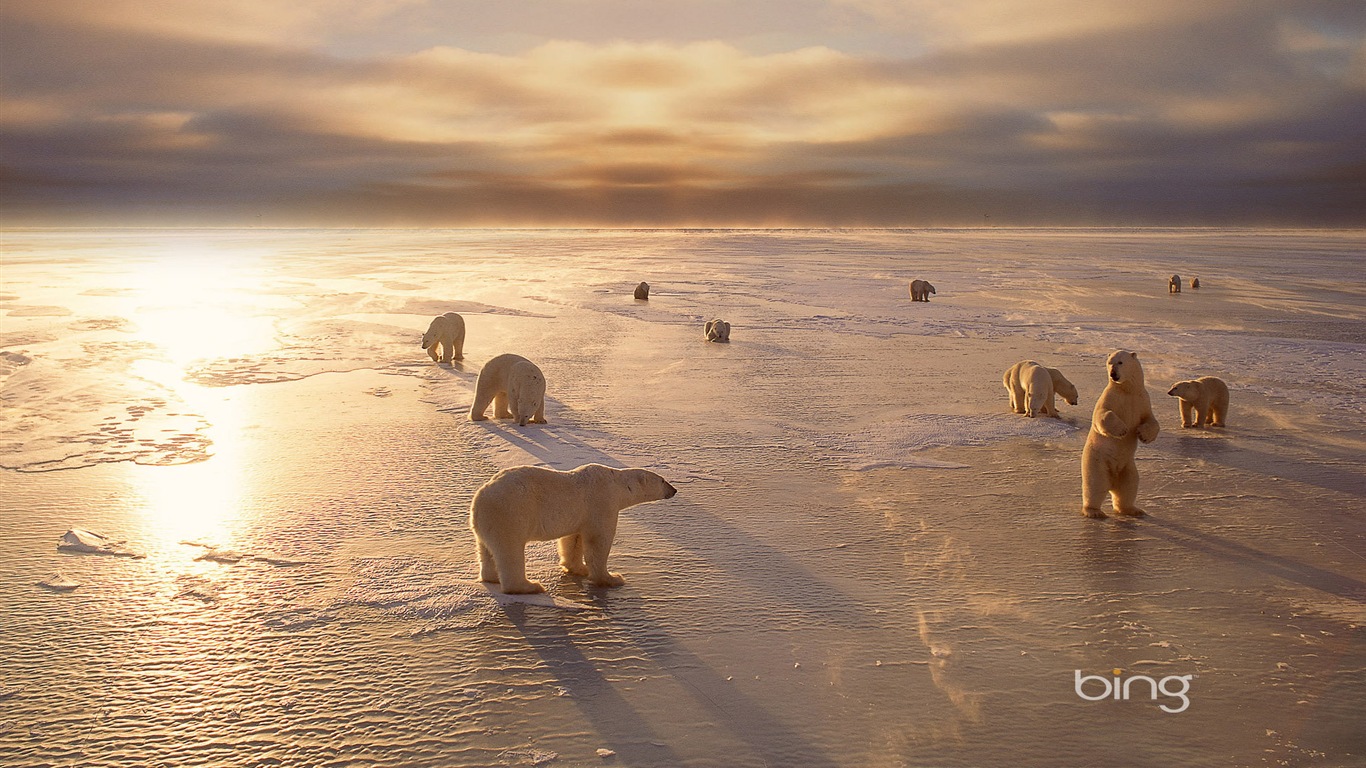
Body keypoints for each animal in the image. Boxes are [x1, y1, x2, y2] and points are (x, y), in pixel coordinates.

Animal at [472, 459, 680, 593]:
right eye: (662, 480)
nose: (674, 490)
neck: (617, 484)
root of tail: (480, 499)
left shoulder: (580, 515)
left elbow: (573, 539)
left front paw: (578, 568)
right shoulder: (602, 502)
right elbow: (598, 542)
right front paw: (612, 578)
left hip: (487, 523)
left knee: (486, 550)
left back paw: (491, 577)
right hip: (510, 514)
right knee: (510, 552)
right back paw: (530, 586)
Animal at [1081, 349, 1158, 516]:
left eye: (1120, 362)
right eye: (1110, 362)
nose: (1113, 374)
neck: (1127, 390)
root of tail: (1112, 482)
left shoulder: (1142, 399)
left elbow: (1151, 420)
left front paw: (1143, 435)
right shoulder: (1111, 397)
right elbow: (1102, 414)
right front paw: (1122, 430)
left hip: (1127, 467)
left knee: (1129, 486)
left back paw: (1133, 509)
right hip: (1097, 462)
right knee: (1095, 485)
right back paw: (1094, 511)